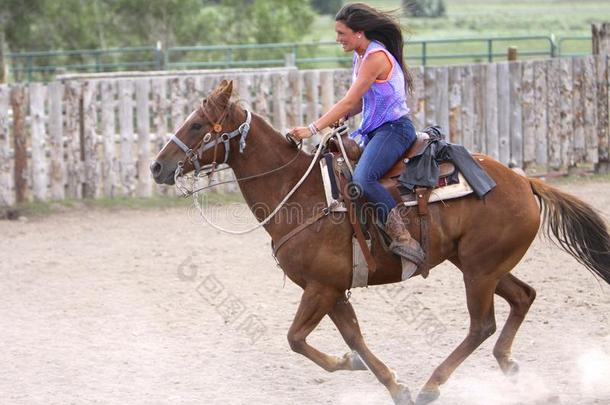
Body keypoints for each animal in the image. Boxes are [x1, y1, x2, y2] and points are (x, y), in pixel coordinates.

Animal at [150, 79, 608, 404]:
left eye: (196, 124)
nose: (157, 166)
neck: (302, 193)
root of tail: (525, 181)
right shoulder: (334, 290)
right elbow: (353, 337)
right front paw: (385, 381)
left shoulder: (320, 287)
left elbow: (296, 338)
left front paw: (361, 369)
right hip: (481, 265)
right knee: (523, 297)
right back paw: (514, 372)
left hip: (479, 271)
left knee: (482, 324)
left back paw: (433, 386)